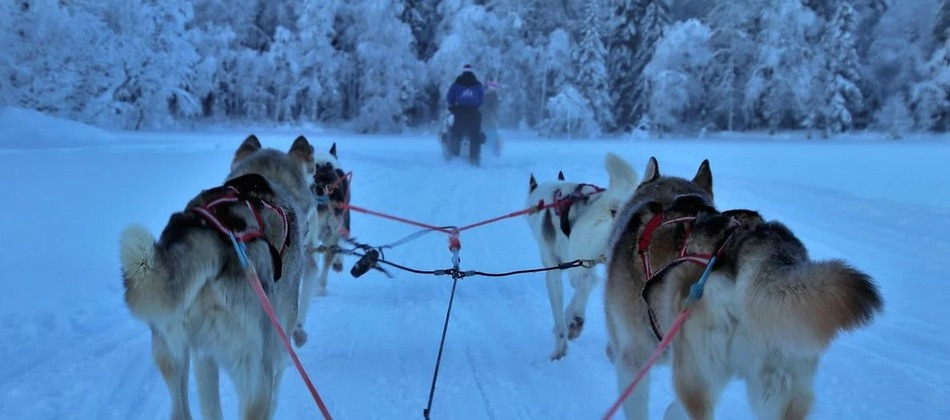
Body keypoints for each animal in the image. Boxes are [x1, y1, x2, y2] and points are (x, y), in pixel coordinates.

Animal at [119, 135, 316, 420]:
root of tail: (214, 236)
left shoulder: (203, 357)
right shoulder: (279, 349)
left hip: (171, 349)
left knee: (181, 410)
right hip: (255, 374)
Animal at [524, 154, 644, 360]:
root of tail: (613, 203)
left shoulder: (555, 269)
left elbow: (562, 310)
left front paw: (559, 348)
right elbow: (591, 284)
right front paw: (568, 319)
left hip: (578, 256)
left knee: (583, 282)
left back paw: (577, 321)